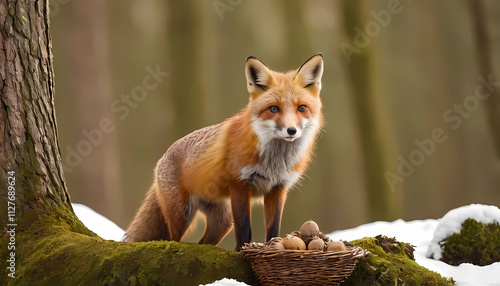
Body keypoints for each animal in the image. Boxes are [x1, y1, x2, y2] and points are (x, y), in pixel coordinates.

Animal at [125, 53, 324, 250]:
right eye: (274, 108)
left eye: (302, 108)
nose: (292, 131)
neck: (274, 161)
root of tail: (163, 156)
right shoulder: (240, 185)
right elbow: (245, 229)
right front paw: (242, 251)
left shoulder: (277, 188)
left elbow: (273, 228)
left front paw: (272, 245)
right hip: (182, 215)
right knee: (174, 240)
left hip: (222, 221)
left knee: (203, 243)